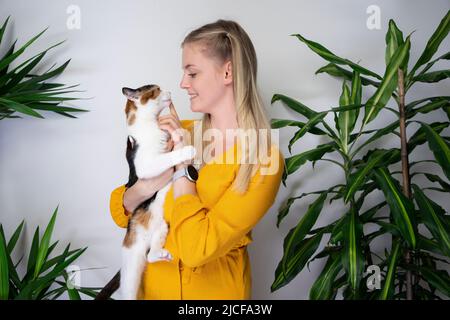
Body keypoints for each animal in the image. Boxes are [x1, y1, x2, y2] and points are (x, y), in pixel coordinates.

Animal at [120, 84, 196, 298]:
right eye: (156, 90)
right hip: (130, 266)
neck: (150, 125)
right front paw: (186, 150)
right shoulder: (146, 165)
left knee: (151, 256)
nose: (169, 90)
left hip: (162, 227)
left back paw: (159, 254)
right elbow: (166, 157)